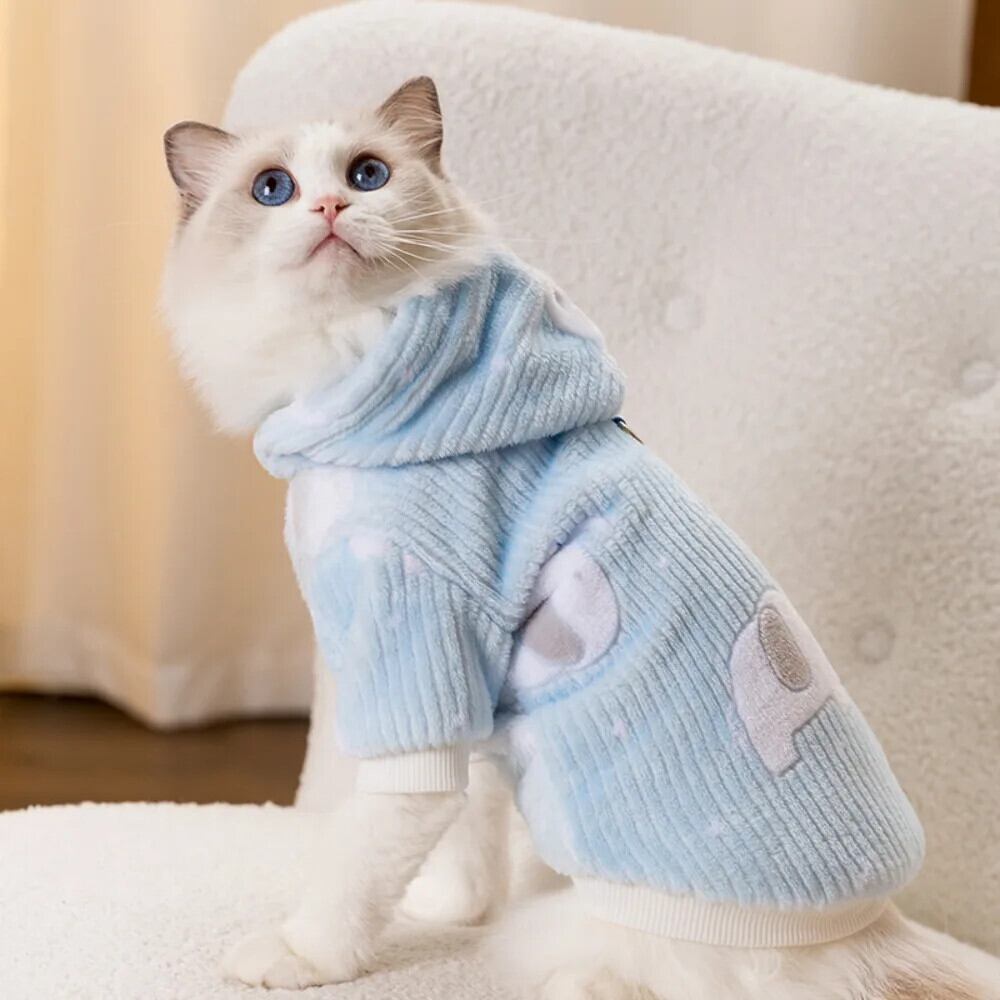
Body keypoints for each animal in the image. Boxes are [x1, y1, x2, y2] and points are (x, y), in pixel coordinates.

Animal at [161, 77, 997, 1000]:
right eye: (272, 188)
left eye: (368, 174)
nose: (330, 206)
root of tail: (871, 939)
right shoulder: (473, 693)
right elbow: (469, 839)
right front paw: (449, 912)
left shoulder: (417, 649)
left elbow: (364, 864)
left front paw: (301, 956)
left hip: (575, 935)